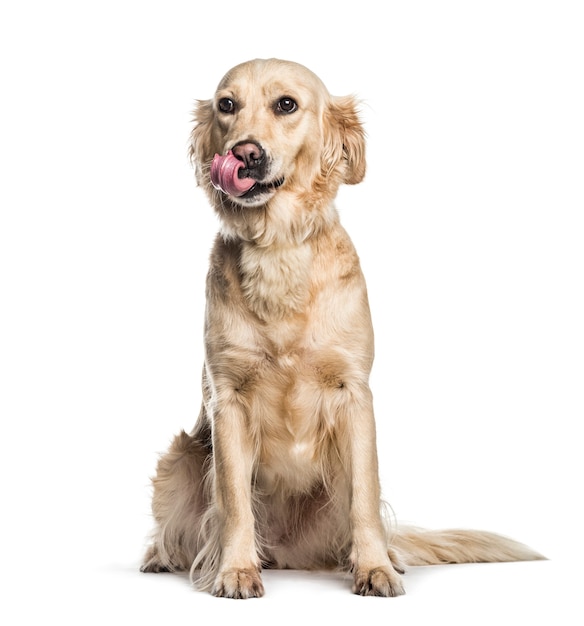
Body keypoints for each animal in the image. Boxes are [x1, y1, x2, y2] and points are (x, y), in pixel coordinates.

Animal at [140, 59, 544, 600]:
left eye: (286, 104)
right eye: (227, 105)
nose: (243, 153)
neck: (278, 249)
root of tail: (287, 554)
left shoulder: (354, 393)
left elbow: (364, 497)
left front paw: (374, 568)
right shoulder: (228, 398)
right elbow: (234, 502)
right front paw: (235, 570)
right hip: (180, 458)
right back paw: (167, 557)